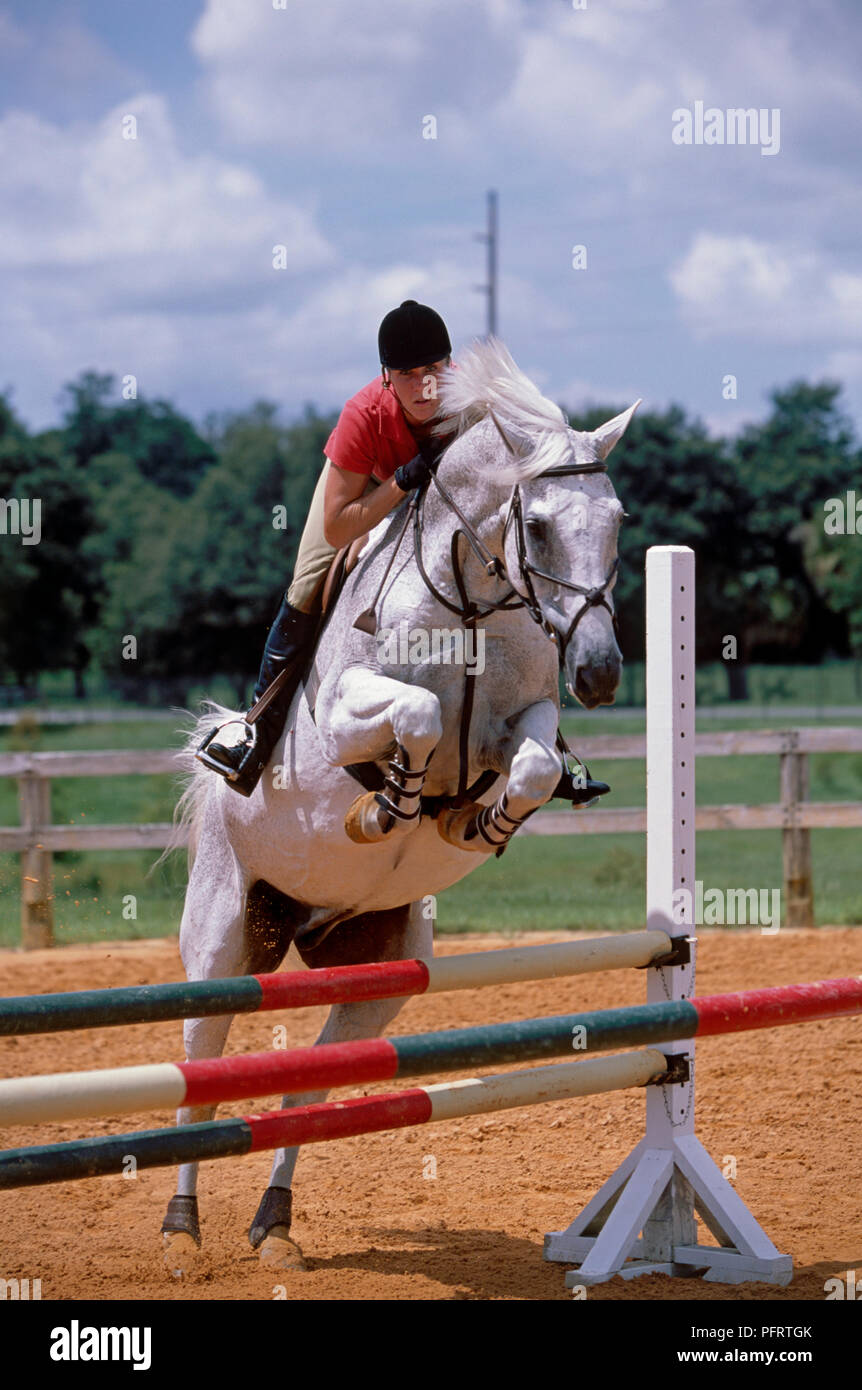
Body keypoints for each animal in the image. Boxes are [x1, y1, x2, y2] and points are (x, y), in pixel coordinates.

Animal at [161, 338, 637, 1272]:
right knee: (203, 1070)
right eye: (537, 526)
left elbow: (532, 766)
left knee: (310, 1086)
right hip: (224, 939)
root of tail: (301, 921)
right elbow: (413, 716)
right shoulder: (346, 713)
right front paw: (385, 808)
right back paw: (183, 1230)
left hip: (378, 970)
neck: (473, 602)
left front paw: (474, 821)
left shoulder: (527, 723)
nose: (600, 674)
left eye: (619, 520)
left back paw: (274, 1226)